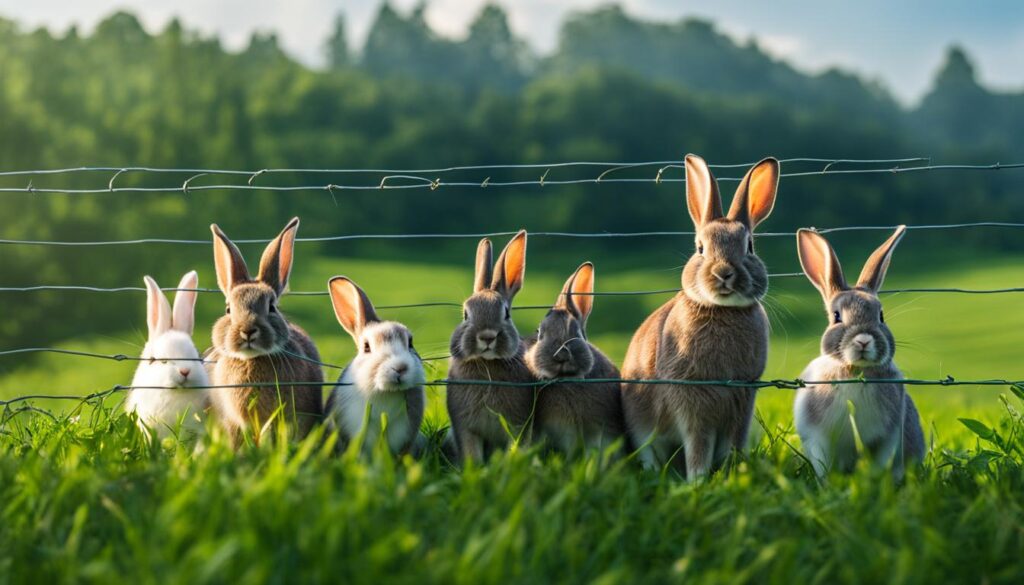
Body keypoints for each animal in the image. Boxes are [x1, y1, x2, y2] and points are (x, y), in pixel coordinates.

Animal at [446, 230, 537, 462]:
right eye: (465, 314)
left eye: (506, 313)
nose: (487, 337)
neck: (487, 366)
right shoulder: (465, 428)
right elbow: (472, 453)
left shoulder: (518, 424)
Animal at [621, 154, 779, 479]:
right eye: (700, 248)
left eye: (750, 247)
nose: (724, 272)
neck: (722, 309)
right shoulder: (692, 400)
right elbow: (698, 444)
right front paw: (698, 479)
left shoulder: (741, 401)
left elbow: (731, 443)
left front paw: (731, 472)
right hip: (640, 425)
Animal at [794, 226, 925, 480]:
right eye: (836, 316)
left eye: (881, 316)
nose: (863, 340)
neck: (856, 372)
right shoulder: (817, 438)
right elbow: (822, 464)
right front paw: (827, 484)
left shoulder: (888, 436)